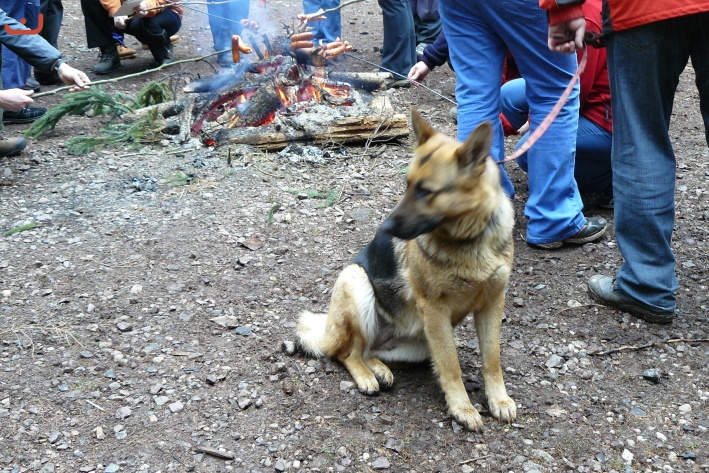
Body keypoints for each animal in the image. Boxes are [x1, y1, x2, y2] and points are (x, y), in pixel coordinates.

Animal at [296, 109, 517, 431]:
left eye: (426, 192)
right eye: (408, 185)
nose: (385, 229)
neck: (468, 238)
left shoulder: (491, 303)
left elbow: (492, 357)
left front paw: (498, 400)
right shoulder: (435, 310)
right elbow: (451, 365)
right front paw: (462, 407)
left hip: (422, 344)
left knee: (368, 351)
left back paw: (379, 368)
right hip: (356, 280)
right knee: (346, 353)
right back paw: (366, 376)